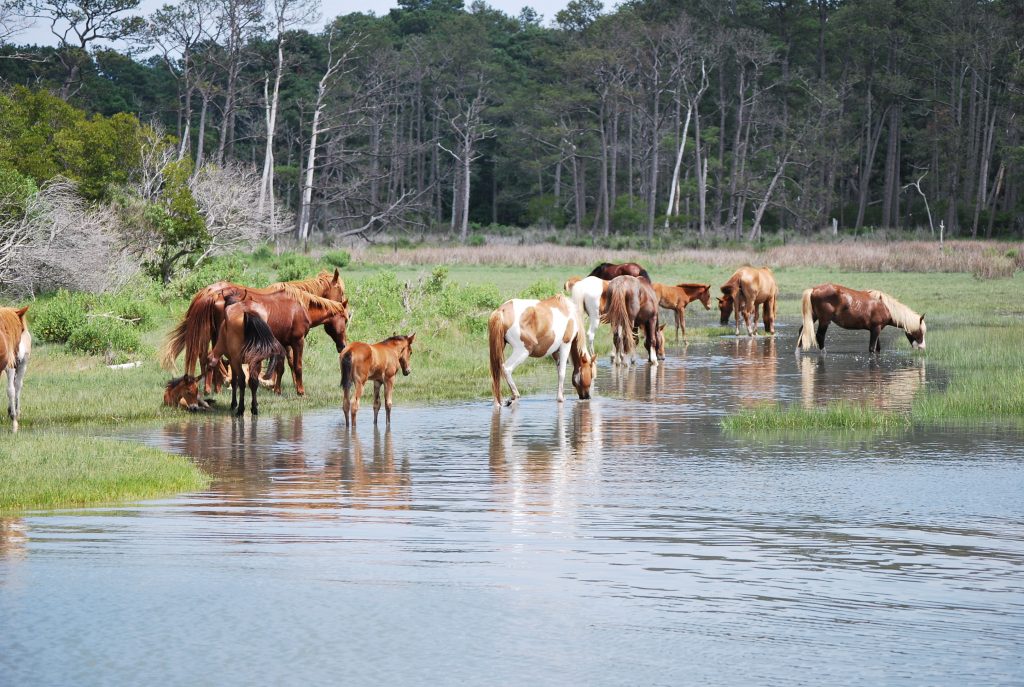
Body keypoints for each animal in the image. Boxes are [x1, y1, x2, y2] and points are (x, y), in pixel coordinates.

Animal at [162, 268, 347, 394]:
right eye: (341, 290)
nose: (343, 345)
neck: (299, 303)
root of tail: (208, 293)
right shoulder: (295, 341)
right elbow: (294, 364)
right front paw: (294, 388)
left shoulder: (283, 341)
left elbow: (284, 364)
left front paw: (279, 386)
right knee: (213, 358)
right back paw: (223, 384)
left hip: (214, 335)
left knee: (207, 357)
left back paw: (215, 387)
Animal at [797, 284, 926, 354]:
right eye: (919, 332)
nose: (922, 348)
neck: (885, 307)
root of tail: (814, 289)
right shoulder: (876, 329)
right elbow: (872, 349)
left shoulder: (876, 329)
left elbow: (878, 348)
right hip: (824, 320)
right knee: (820, 336)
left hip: (813, 317)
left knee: (801, 331)